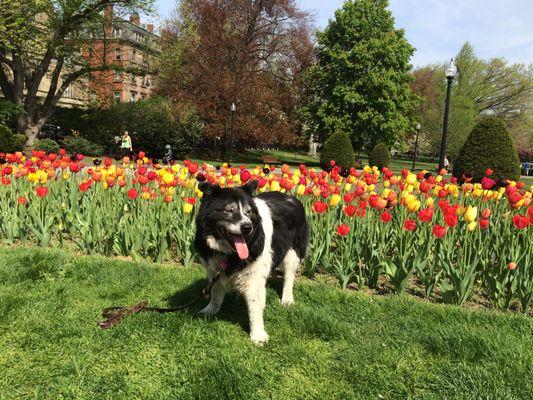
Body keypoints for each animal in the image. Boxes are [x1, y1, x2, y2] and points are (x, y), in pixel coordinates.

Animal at [193, 180, 308, 344]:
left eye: (248, 212)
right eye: (229, 210)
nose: (247, 227)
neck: (229, 254)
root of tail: (291, 197)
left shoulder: (253, 277)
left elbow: (254, 307)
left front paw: (258, 335)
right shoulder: (214, 270)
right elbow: (215, 292)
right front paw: (210, 310)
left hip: (293, 252)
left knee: (289, 277)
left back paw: (287, 300)